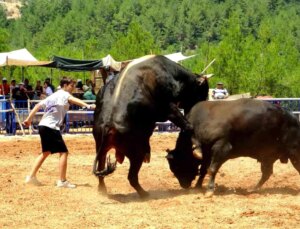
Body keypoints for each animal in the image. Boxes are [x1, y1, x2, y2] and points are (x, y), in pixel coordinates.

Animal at [93, 55, 209, 197]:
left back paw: (102, 189)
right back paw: (144, 193)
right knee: (132, 177)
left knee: (101, 169)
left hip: (101, 148)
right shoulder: (169, 109)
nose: (185, 184)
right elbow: (187, 126)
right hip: (136, 153)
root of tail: (108, 126)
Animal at [166, 98, 300, 197]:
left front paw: (209, 190)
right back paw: (252, 189)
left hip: (294, 154)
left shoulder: (221, 147)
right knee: (266, 173)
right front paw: (197, 186)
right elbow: (204, 169)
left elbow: (212, 169)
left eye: (177, 165)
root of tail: (294, 118)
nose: (184, 185)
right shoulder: (206, 151)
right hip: (268, 157)